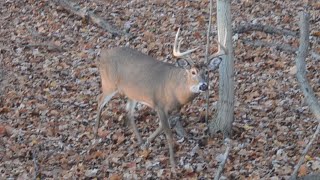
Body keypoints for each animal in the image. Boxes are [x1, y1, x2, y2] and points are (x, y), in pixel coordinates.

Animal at [94, 28, 226, 172]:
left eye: (207, 72)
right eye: (193, 72)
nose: (203, 86)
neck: (176, 91)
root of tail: (103, 54)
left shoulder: (174, 109)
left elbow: (162, 127)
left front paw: (146, 143)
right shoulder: (159, 105)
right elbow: (168, 134)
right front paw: (173, 166)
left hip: (132, 93)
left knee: (128, 112)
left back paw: (140, 141)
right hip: (109, 83)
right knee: (99, 101)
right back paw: (95, 136)